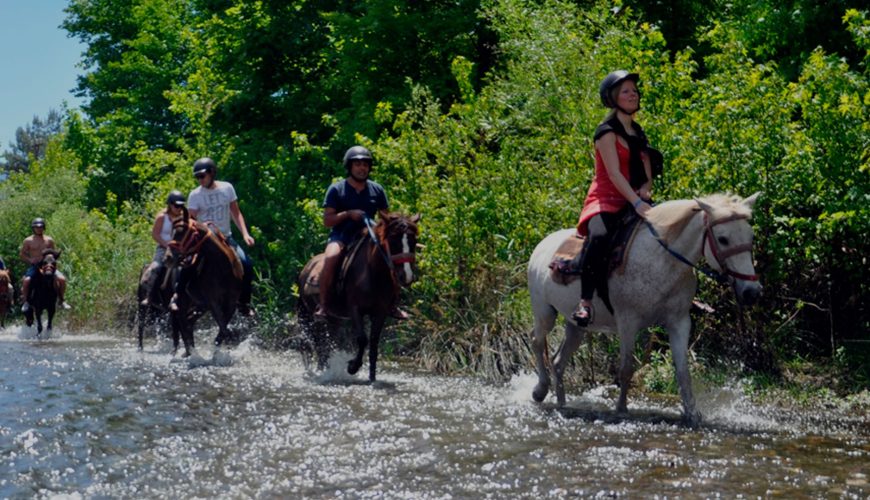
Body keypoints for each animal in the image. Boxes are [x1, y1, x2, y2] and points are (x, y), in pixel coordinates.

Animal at [168, 209, 244, 358]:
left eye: (181, 232)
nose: (168, 257)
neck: (223, 268)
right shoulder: (213, 302)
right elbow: (223, 325)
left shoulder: (230, 303)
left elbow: (223, 326)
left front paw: (219, 349)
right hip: (185, 301)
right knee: (182, 321)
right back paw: (190, 352)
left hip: (200, 305)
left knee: (188, 322)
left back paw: (190, 351)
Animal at [300, 212, 422, 382]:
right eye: (393, 240)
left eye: (413, 241)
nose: (407, 276)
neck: (372, 274)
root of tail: (306, 267)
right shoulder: (355, 309)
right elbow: (362, 339)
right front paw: (352, 367)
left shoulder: (380, 312)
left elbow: (374, 343)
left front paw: (372, 377)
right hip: (311, 316)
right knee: (317, 344)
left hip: (334, 319)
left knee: (325, 344)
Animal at [524, 192, 764, 426]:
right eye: (723, 239)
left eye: (750, 236)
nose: (751, 292)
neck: (662, 260)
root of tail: (542, 245)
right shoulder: (627, 322)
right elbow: (626, 369)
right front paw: (621, 410)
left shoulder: (679, 322)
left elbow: (683, 371)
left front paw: (692, 414)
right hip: (544, 312)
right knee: (536, 340)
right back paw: (540, 390)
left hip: (577, 326)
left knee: (558, 361)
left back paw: (562, 403)